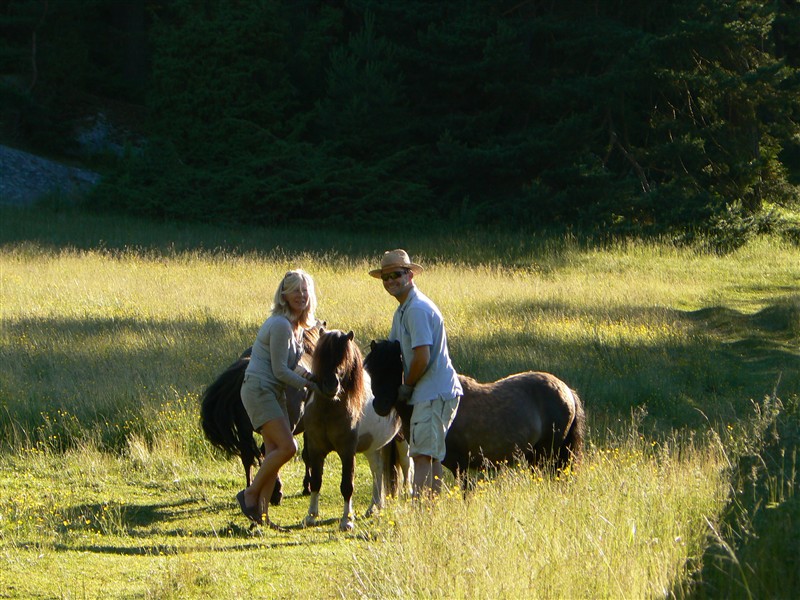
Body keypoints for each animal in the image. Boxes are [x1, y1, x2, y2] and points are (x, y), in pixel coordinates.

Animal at [302, 330, 406, 532]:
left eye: (345, 358)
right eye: (322, 355)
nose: (331, 385)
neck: (329, 409)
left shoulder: (347, 452)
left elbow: (347, 485)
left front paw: (347, 520)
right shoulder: (315, 449)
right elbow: (316, 481)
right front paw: (311, 516)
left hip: (403, 443)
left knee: (408, 470)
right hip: (373, 447)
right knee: (378, 470)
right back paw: (374, 507)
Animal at [366, 340, 584, 480]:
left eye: (394, 367)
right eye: (371, 370)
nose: (380, 406)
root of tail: (567, 390)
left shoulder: (460, 465)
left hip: (548, 455)